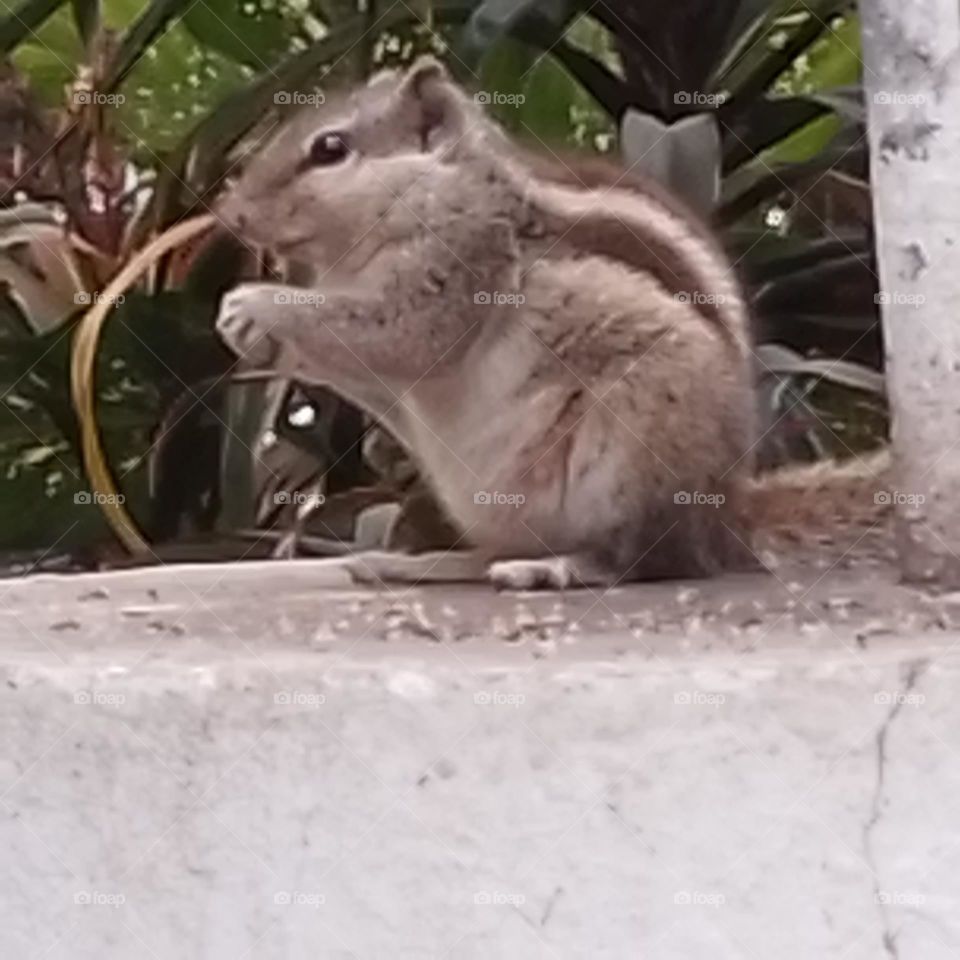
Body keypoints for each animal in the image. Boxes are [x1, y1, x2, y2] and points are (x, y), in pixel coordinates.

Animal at [216, 56, 889, 589]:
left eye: (329, 149)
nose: (233, 214)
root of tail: (728, 521)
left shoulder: (458, 268)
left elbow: (395, 333)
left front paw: (255, 305)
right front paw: (253, 336)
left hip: (642, 452)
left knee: (641, 560)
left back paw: (558, 568)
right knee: (499, 550)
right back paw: (422, 563)